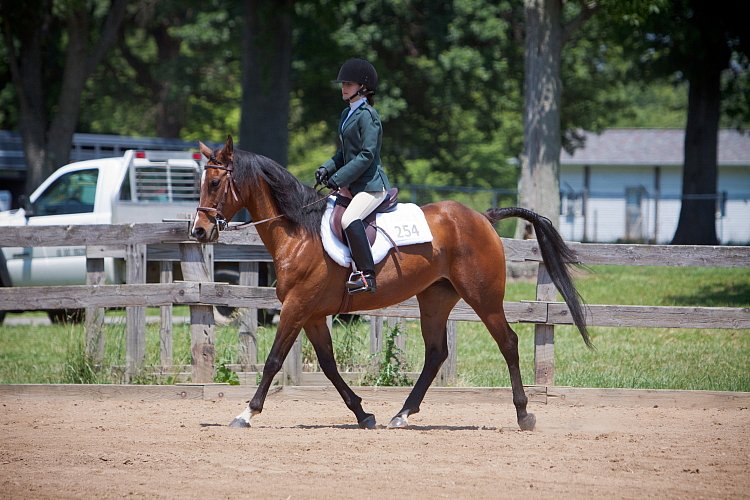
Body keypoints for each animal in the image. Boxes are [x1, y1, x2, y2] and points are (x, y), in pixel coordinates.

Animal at [191, 136, 592, 430]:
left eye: (215, 183)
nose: (199, 231)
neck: (299, 233)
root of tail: (483, 216)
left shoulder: (297, 306)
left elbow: (274, 360)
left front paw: (246, 413)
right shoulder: (314, 314)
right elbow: (329, 365)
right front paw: (363, 414)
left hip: (483, 296)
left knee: (508, 343)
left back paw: (523, 414)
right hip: (435, 299)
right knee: (436, 354)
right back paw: (401, 414)